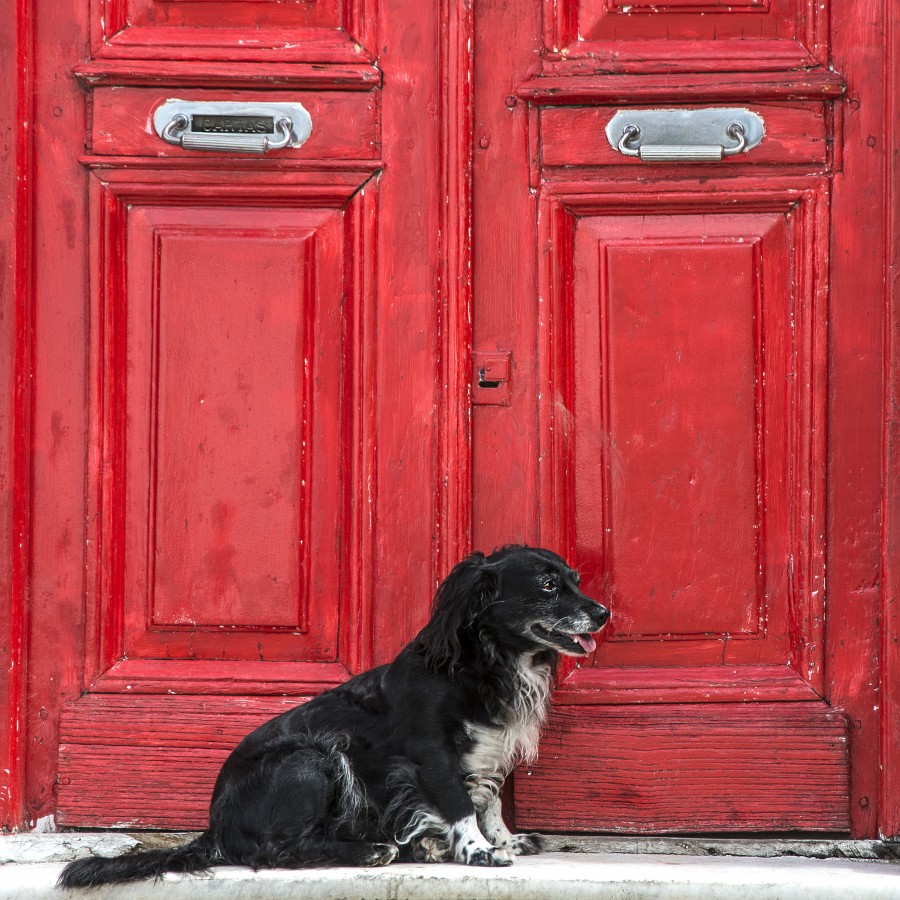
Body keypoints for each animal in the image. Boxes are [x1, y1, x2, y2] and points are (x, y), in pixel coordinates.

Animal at [59, 544, 608, 888]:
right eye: (547, 585)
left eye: (575, 581)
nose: (603, 613)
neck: (487, 661)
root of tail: (216, 828)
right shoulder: (430, 752)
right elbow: (459, 803)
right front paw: (477, 850)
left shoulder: (490, 749)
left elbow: (490, 799)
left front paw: (504, 838)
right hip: (313, 758)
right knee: (276, 850)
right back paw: (372, 851)